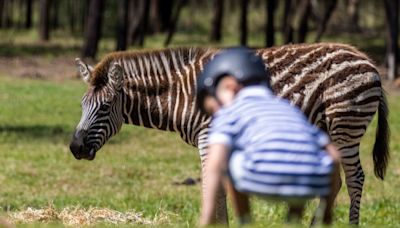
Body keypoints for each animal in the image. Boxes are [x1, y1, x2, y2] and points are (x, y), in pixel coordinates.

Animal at [69, 43, 390, 224]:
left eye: (105, 107)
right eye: (82, 105)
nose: (75, 148)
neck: (183, 93)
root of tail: (369, 61)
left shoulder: (208, 136)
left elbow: (212, 186)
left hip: (345, 124)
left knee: (355, 178)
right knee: (335, 180)